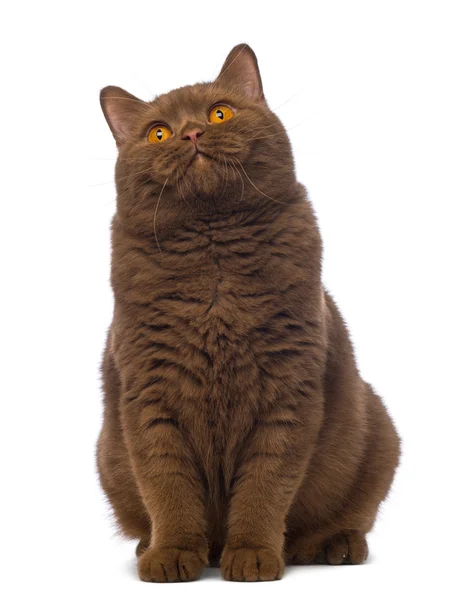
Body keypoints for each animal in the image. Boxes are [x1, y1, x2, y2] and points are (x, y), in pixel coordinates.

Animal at [97, 43, 400, 580]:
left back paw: (334, 545)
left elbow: (266, 483)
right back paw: (150, 546)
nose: (193, 133)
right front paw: (172, 554)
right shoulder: (149, 393)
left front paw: (254, 555)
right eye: (158, 132)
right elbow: (166, 483)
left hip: (380, 432)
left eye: (220, 113)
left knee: (349, 513)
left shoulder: (287, 390)